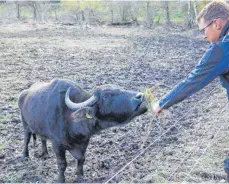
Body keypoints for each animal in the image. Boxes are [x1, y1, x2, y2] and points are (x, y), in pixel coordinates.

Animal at [17, 79, 147, 183]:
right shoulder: (57, 145)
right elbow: (62, 164)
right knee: (26, 139)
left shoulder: (84, 142)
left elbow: (81, 159)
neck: (71, 120)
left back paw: (45, 153)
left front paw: (80, 177)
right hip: (25, 124)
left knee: (42, 138)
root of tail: (24, 93)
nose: (139, 96)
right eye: (106, 96)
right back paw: (25, 156)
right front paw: (61, 179)